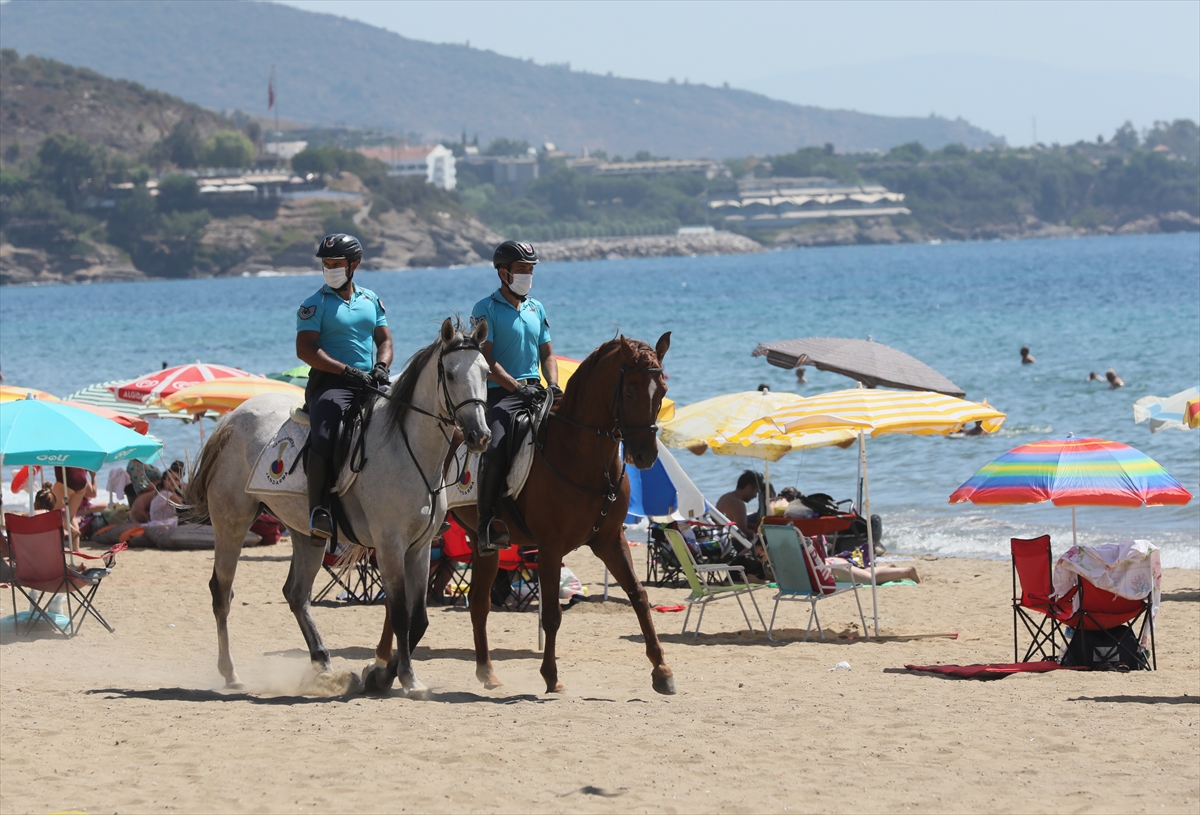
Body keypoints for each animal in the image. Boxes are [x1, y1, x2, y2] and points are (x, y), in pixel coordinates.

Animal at [184, 316, 489, 696]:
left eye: (486, 372)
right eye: (449, 373)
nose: (479, 435)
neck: (410, 450)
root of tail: (232, 418)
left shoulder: (418, 548)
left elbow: (418, 618)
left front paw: (382, 675)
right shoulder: (390, 545)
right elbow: (400, 614)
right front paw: (404, 678)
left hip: (306, 534)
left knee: (296, 594)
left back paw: (324, 664)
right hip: (232, 523)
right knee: (222, 591)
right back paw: (231, 673)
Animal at [374, 333, 676, 696]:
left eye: (662, 390)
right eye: (630, 391)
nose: (645, 455)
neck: (579, 451)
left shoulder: (609, 540)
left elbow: (639, 596)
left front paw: (662, 670)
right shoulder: (550, 546)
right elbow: (552, 615)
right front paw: (551, 676)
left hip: (481, 545)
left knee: (478, 603)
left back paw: (486, 672)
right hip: (413, 537)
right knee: (398, 602)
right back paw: (382, 665)